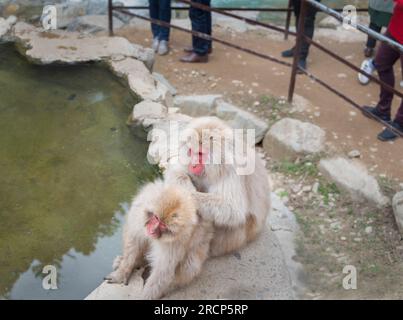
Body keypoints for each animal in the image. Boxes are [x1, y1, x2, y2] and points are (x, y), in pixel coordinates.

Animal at [105, 172, 216, 300]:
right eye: (156, 218)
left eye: (163, 225)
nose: (152, 230)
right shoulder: (139, 210)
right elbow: (133, 241)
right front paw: (122, 272)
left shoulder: (177, 241)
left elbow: (163, 269)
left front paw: (146, 295)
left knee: (190, 265)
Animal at [180, 117, 272, 258]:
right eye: (191, 152)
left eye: (200, 154)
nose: (193, 165)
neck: (219, 163)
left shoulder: (233, 170)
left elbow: (232, 208)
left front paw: (185, 195)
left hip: (238, 237)